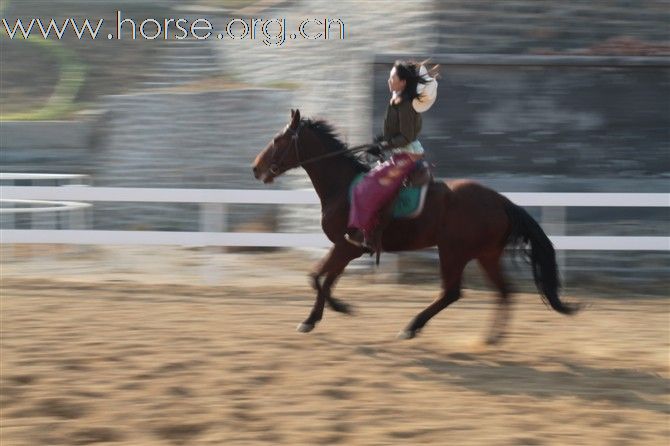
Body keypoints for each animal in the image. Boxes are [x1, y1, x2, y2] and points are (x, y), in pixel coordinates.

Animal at [255, 110, 580, 344]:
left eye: (278, 140)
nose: (256, 168)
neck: (343, 187)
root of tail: (501, 201)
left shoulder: (347, 246)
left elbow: (319, 279)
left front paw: (317, 316)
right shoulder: (346, 248)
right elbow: (322, 279)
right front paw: (333, 310)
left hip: (453, 252)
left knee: (451, 293)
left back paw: (412, 326)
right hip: (486, 255)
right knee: (504, 291)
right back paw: (491, 338)